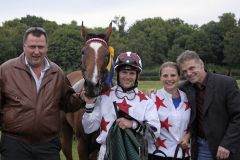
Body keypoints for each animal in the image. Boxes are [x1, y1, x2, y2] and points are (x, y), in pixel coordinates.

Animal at [61, 21, 114, 160]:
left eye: (107, 54)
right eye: (83, 52)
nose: (91, 85)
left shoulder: (98, 146)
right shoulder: (82, 144)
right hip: (65, 132)